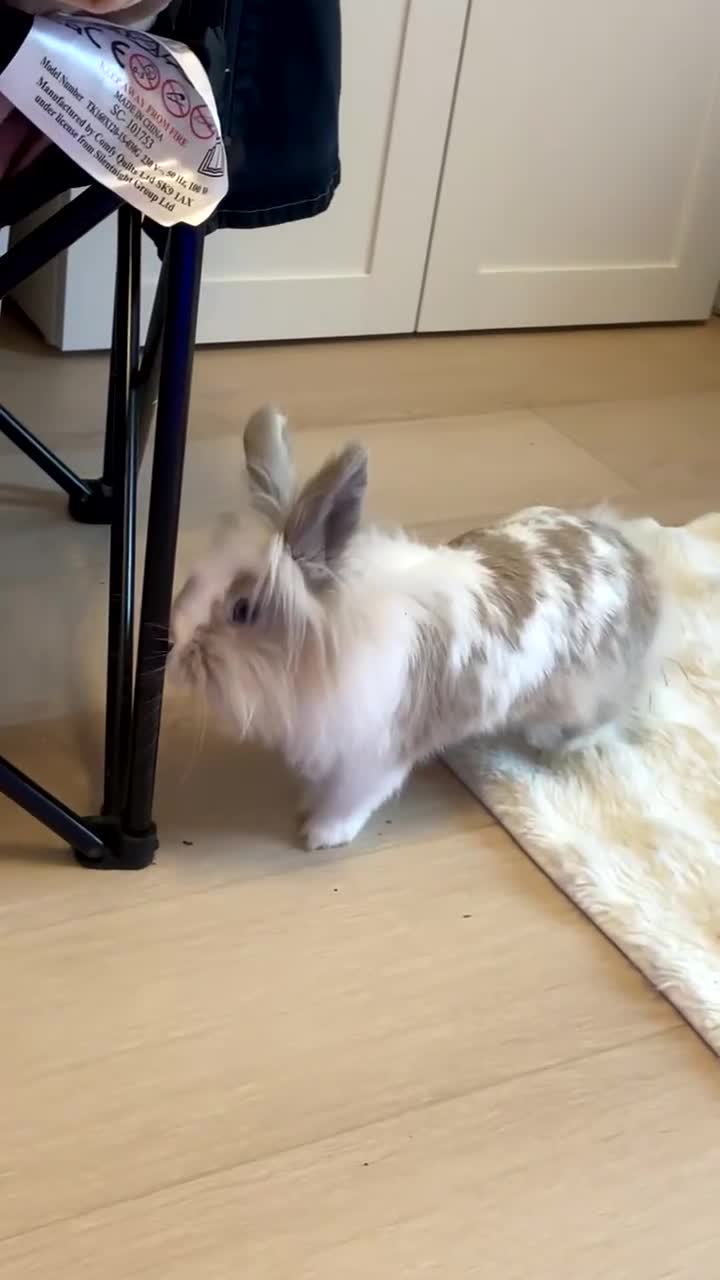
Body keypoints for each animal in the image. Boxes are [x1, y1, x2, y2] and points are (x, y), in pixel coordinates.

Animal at [168, 405, 665, 851]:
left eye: (243, 610)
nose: (175, 647)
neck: (332, 643)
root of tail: (631, 555)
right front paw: (307, 804)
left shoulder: (372, 757)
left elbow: (350, 801)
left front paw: (320, 834)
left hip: (585, 697)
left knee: (603, 719)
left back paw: (557, 747)